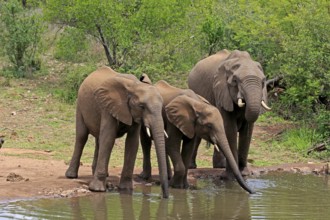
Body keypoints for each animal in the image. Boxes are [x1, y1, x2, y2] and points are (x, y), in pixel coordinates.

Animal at [65, 66, 169, 199]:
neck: (134, 86)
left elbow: (132, 143)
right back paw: (71, 175)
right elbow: (108, 139)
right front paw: (97, 189)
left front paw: (126, 189)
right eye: (142, 106)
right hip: (80, 104)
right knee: (82, 136)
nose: (164, 197)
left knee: (99, 139)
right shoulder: (108, 106)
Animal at [188, 49, 270, 177]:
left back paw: (220, 166)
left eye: (263, 82)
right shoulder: (222, 93)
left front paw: (244, 173)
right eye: (235, 81)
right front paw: (232, 175)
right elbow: (230, 127)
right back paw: (192, 166)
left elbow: (248, 129)